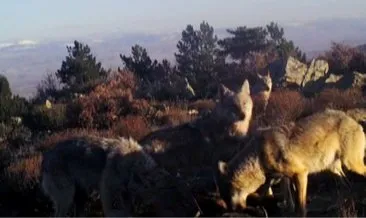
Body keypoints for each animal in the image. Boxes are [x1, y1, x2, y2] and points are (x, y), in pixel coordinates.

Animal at [216, 109, 366, 216]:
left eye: (228, 194)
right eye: (224, 196)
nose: (233, 210)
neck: (259, 156)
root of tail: (350, 117)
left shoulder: (301, 174)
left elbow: (301, 207)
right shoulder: (284, 178)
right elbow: (287, 199)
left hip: (351, 164)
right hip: (335, 169)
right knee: (348, 186)